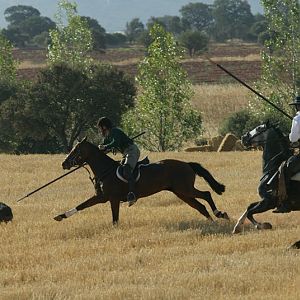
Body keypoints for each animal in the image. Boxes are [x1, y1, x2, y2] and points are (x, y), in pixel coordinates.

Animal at [54, 137, 229, 224]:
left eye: (76, 150)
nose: (63, 163)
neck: (105, 170)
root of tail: (187, 164)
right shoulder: (102, 197)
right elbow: (81, 205)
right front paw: (60, 216)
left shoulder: (112, 199)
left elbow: (115, 219)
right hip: (181, 193)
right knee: (200, 206)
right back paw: (212, 222)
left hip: (185, 189)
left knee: (206, 194)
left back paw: (220, 214)